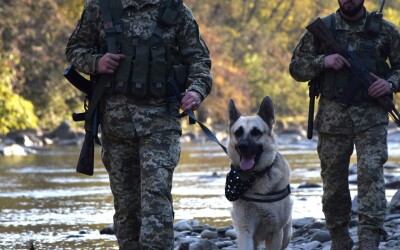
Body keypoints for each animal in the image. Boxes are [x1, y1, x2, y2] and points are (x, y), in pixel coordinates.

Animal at [223, 96, 292, 250]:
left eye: (256, 132)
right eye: (238, 133)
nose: (242, 146)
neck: (255, 176)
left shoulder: (275, 234)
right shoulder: (245, 232)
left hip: (286, 235)